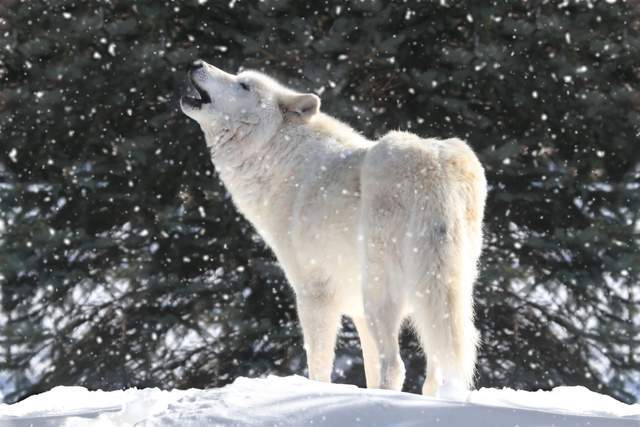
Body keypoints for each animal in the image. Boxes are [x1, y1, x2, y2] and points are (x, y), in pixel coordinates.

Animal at [180, 61, 484, 402]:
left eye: (244, 85)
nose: (197, 64)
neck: (282, 160)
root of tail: (435, 166)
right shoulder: (358, 314)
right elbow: (369, 369)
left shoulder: (314, 294)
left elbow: (319, 366)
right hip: (437, 296)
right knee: (434, 369)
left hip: (381, 293)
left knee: (396, 366)